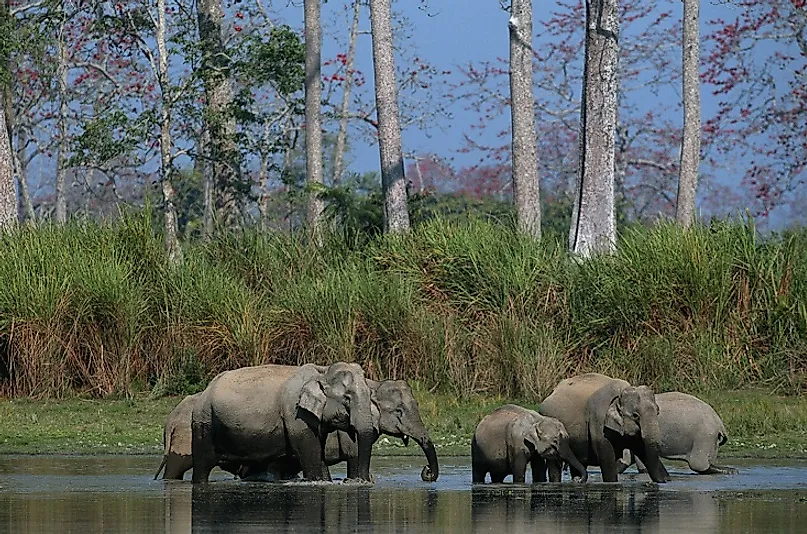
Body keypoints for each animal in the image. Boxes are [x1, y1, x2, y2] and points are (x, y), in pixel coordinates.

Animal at [191, 364, 378, 486]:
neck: (322, 371)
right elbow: (310, 453)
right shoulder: (296, 415)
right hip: (204, 422)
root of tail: (205, 390)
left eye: (370, 394)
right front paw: (318, 480)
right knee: (203, 466)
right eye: (347, 398)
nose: (357, 480)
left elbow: (319, 451)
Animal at [540, 372, 672, 486]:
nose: (666, 480)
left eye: (658, 411)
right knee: (554, 465)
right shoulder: (598, 421)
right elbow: (607, 459)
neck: (621, 393)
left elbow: (643, 449)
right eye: (635, 415)